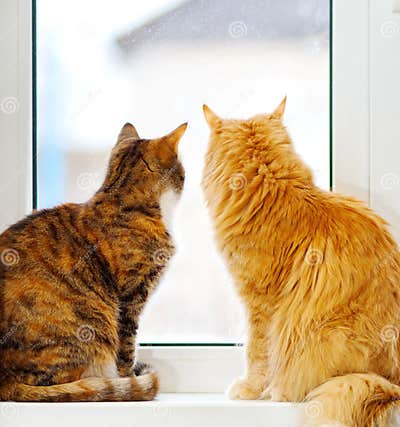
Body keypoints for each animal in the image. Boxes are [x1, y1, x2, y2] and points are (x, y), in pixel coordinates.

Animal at [202, 98, 400, 426]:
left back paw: (280, 391)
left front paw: (249, 388)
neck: (272, 193)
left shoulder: (260, 302)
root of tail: (395, 382)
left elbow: (257, 352)